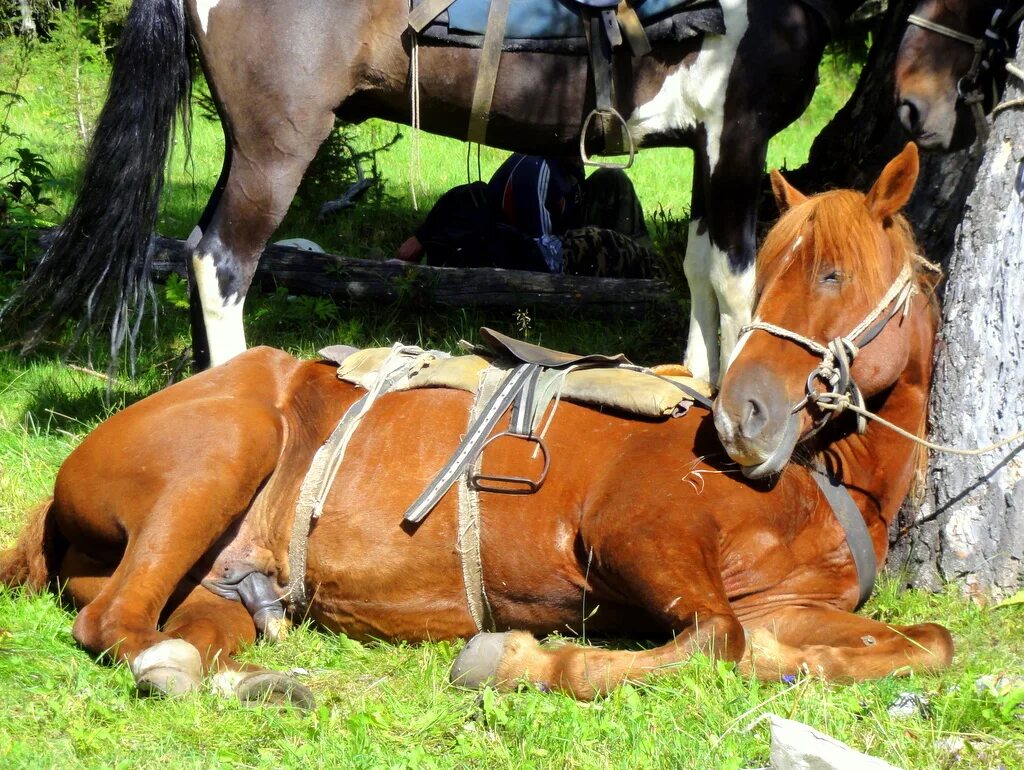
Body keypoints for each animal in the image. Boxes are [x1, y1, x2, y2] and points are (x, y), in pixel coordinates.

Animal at [0, 0, 860, 382]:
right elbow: (741, 280)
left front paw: (699, 386)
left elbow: (699, 269)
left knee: (194, 253)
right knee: (222, 260)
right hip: (279, 149)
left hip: (248, 148)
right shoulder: (739, 137)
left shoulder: (708, 145)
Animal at [0, 143, 950, 704]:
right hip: (223, 456)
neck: (806, 488)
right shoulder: (636, 536)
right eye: (776, 268)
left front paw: (802, 663)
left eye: (831, 274)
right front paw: (523, 660)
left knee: (178, 637)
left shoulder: (792, 606)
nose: (741, 417)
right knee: (117, 629)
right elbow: (718, 636)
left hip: (221, 587)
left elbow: (922, 642)